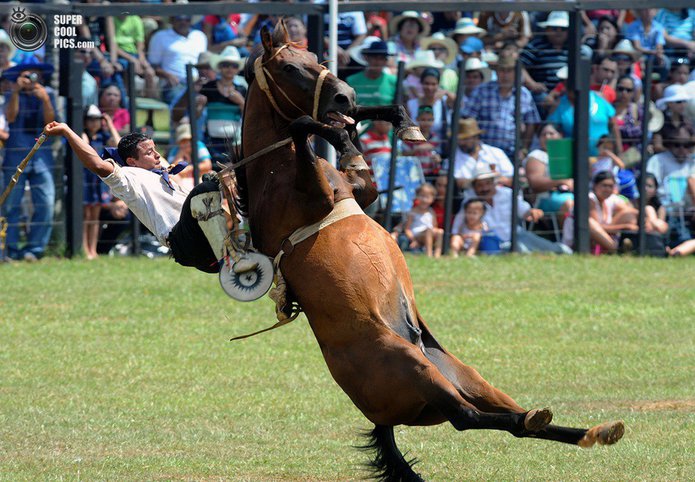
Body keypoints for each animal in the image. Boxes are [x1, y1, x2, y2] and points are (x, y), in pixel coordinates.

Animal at [235, 24, 624, 480]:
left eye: (314, 56)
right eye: (289, 67)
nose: (344, 95)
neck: (270, 170)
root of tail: (379, 419)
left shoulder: (363, 193)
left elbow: (353, 149)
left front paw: (396, 122)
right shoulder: (313, 197)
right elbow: (302, 123)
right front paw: (342, 131)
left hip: (463, 375)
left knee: (503, 416)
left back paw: (589, 429)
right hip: (416, 370)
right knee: (468, 418)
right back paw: (552, 422)